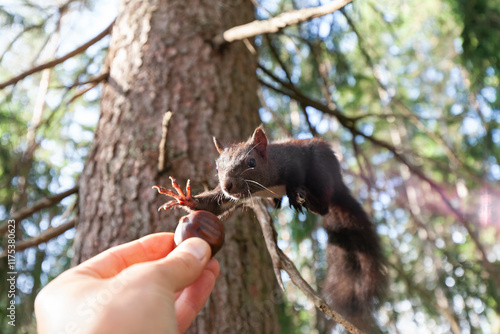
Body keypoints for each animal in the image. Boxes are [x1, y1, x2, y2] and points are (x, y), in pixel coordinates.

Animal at [154, 125, 384, 332]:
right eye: (217, 167)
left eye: (251, 162)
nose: (228, 185)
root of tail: (339, 186)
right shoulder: (226, 196)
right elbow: (214, 204)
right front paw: (186, 199)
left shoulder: (292, 160)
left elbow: (295, 178)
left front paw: (295, 191)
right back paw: (276, 201)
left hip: (324, 170)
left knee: (324, 207)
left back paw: (306, 198)